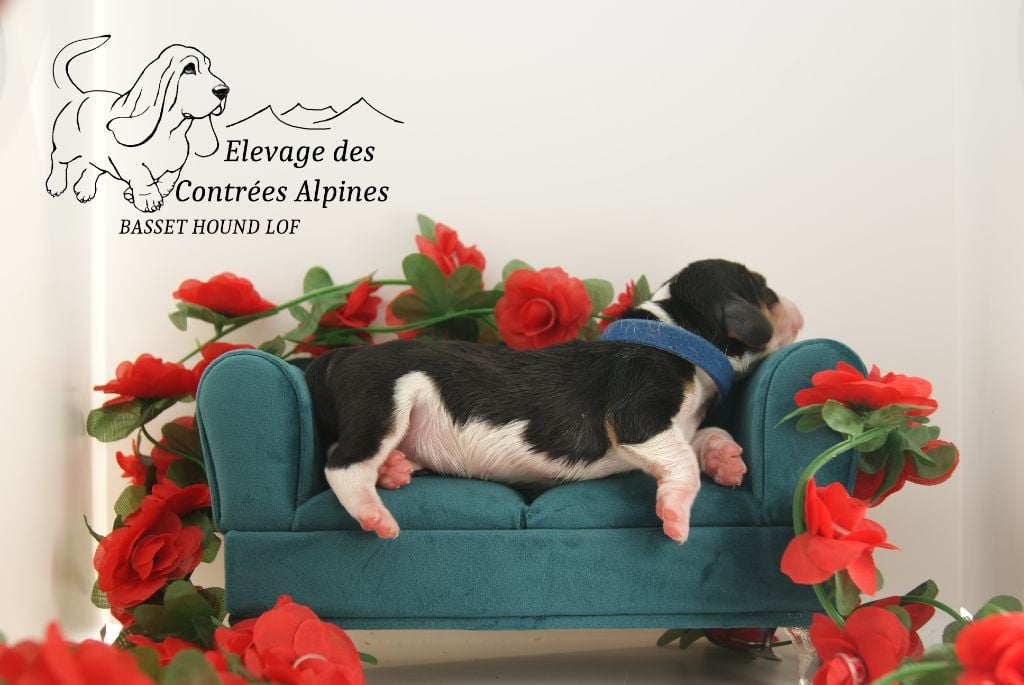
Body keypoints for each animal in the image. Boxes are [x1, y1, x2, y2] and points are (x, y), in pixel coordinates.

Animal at [46, 36, 228, 212]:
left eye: (208, 67)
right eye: (189, 69)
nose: (223, 91)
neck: (171, 133)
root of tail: (80, 95)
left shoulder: (175, 167)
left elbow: (167, 181)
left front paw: (133, 194)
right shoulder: (131, 164)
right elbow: (143, 177)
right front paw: (150, 200)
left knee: (93, 166)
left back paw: (85, 189)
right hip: (68, 147)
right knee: (57, 158)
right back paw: (55, 185)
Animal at [305, 259, 804, 543]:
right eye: (764, 289)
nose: (799, 311)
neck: (676, 332)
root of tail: (341, 356)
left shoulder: (675, 427)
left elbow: (704, 435)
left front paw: (728, 461)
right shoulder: (636, 419)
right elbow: (682, 461)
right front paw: (675, 520)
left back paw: (395, 471)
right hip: (385, 404)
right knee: (342, 465)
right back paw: (376, 517)